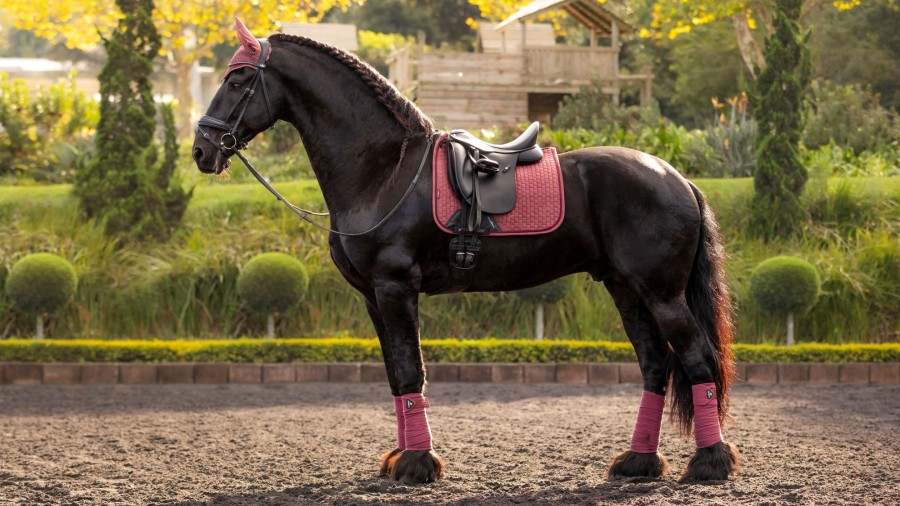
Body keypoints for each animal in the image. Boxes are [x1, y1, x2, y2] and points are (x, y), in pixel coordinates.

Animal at [193, 19, 740, 484]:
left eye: (239, 80)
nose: (202, 150)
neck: (385, 171)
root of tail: (676, 177)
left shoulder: (395, 288)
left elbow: (410, 370)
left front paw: (417, 463)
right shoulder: (373, 298)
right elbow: (396, 376)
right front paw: (403, 457)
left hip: (662, 293)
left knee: (697, 359)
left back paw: (709, 463)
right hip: (626, 290)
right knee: (656, 366)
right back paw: (639, 462)